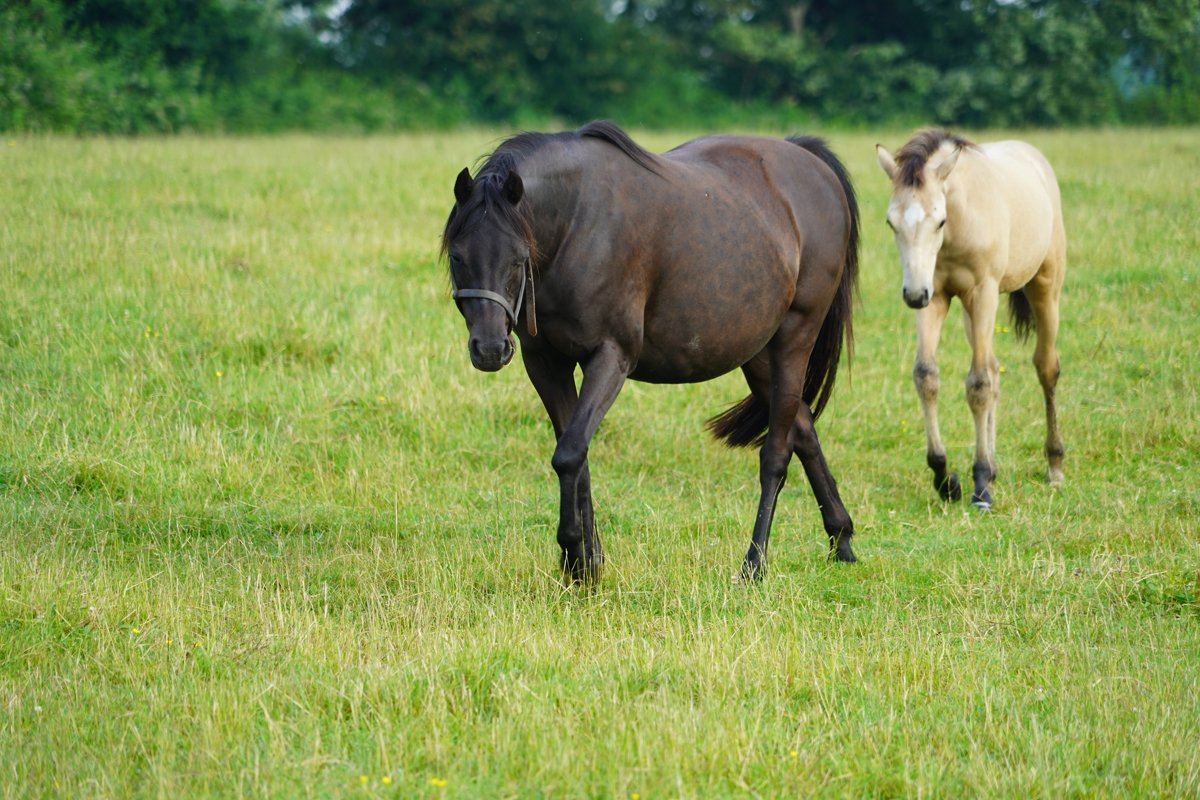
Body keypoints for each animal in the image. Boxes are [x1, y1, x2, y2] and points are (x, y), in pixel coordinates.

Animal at [442, 120, 860, 582]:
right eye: (458, 257)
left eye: (518, 258)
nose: (489, 348)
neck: (576, 225)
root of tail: (809, 161)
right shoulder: (546, 364)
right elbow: (576, 454)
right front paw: (589, 559)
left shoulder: (611, 357)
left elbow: (569, 454)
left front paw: (574, 557)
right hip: (758, 355)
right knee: (804, 428)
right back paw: (841, 538)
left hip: (794, 338)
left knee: (777, 453)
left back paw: (754, 564)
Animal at [875, 129, 1066, 510]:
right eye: (891, 222)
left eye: (939, 220)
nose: (912, 295)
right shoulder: (935, 295)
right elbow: (927, 376)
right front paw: (945, 477)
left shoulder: (982, 291)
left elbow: (978, 385)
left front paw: (980, 487)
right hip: (968, 310)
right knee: (993, 369)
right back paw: (993, 467)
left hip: (1043, 287)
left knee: (1045, 367)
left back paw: (1053, 466)